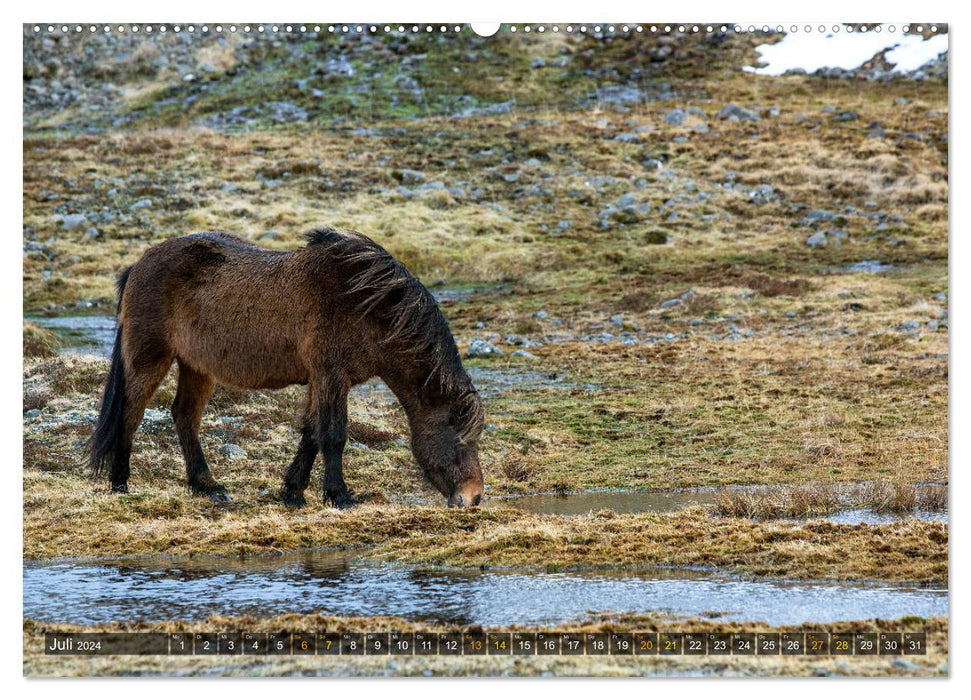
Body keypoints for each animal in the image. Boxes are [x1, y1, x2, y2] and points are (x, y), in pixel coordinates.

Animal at [87, 228, 486, 508]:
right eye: (460, 438)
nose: (474, 497)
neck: (364, 305)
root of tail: (136, 266)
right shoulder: (331, 375)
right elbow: (333, 434)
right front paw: (340, 496)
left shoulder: (320, 379)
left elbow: (311, 433)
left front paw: (293, 492)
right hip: (149, 358)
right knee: (131, 413)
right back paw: (120, 482)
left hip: (197, 366)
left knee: (184, 416)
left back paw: (207, 486)